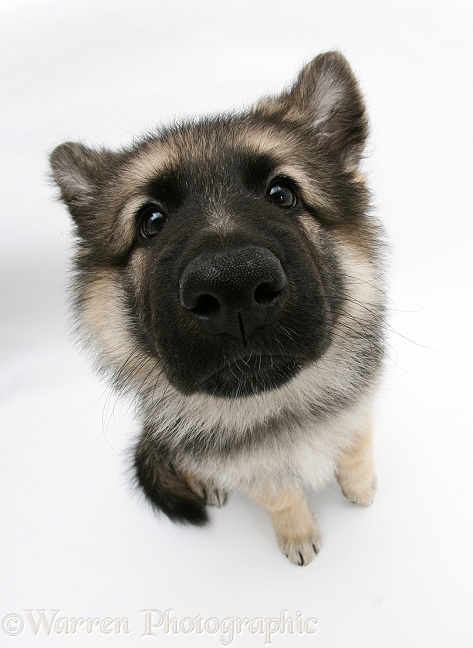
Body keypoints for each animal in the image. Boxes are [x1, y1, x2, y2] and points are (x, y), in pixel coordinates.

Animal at [50, 52, 384, 568]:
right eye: (151, 221)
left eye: (282, 194)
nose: (234, 288)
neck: (278, 402)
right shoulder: (255, 473)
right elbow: (284, 499)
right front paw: (298, 535)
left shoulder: (359, 411)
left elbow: (355, 450)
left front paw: (361, 488)